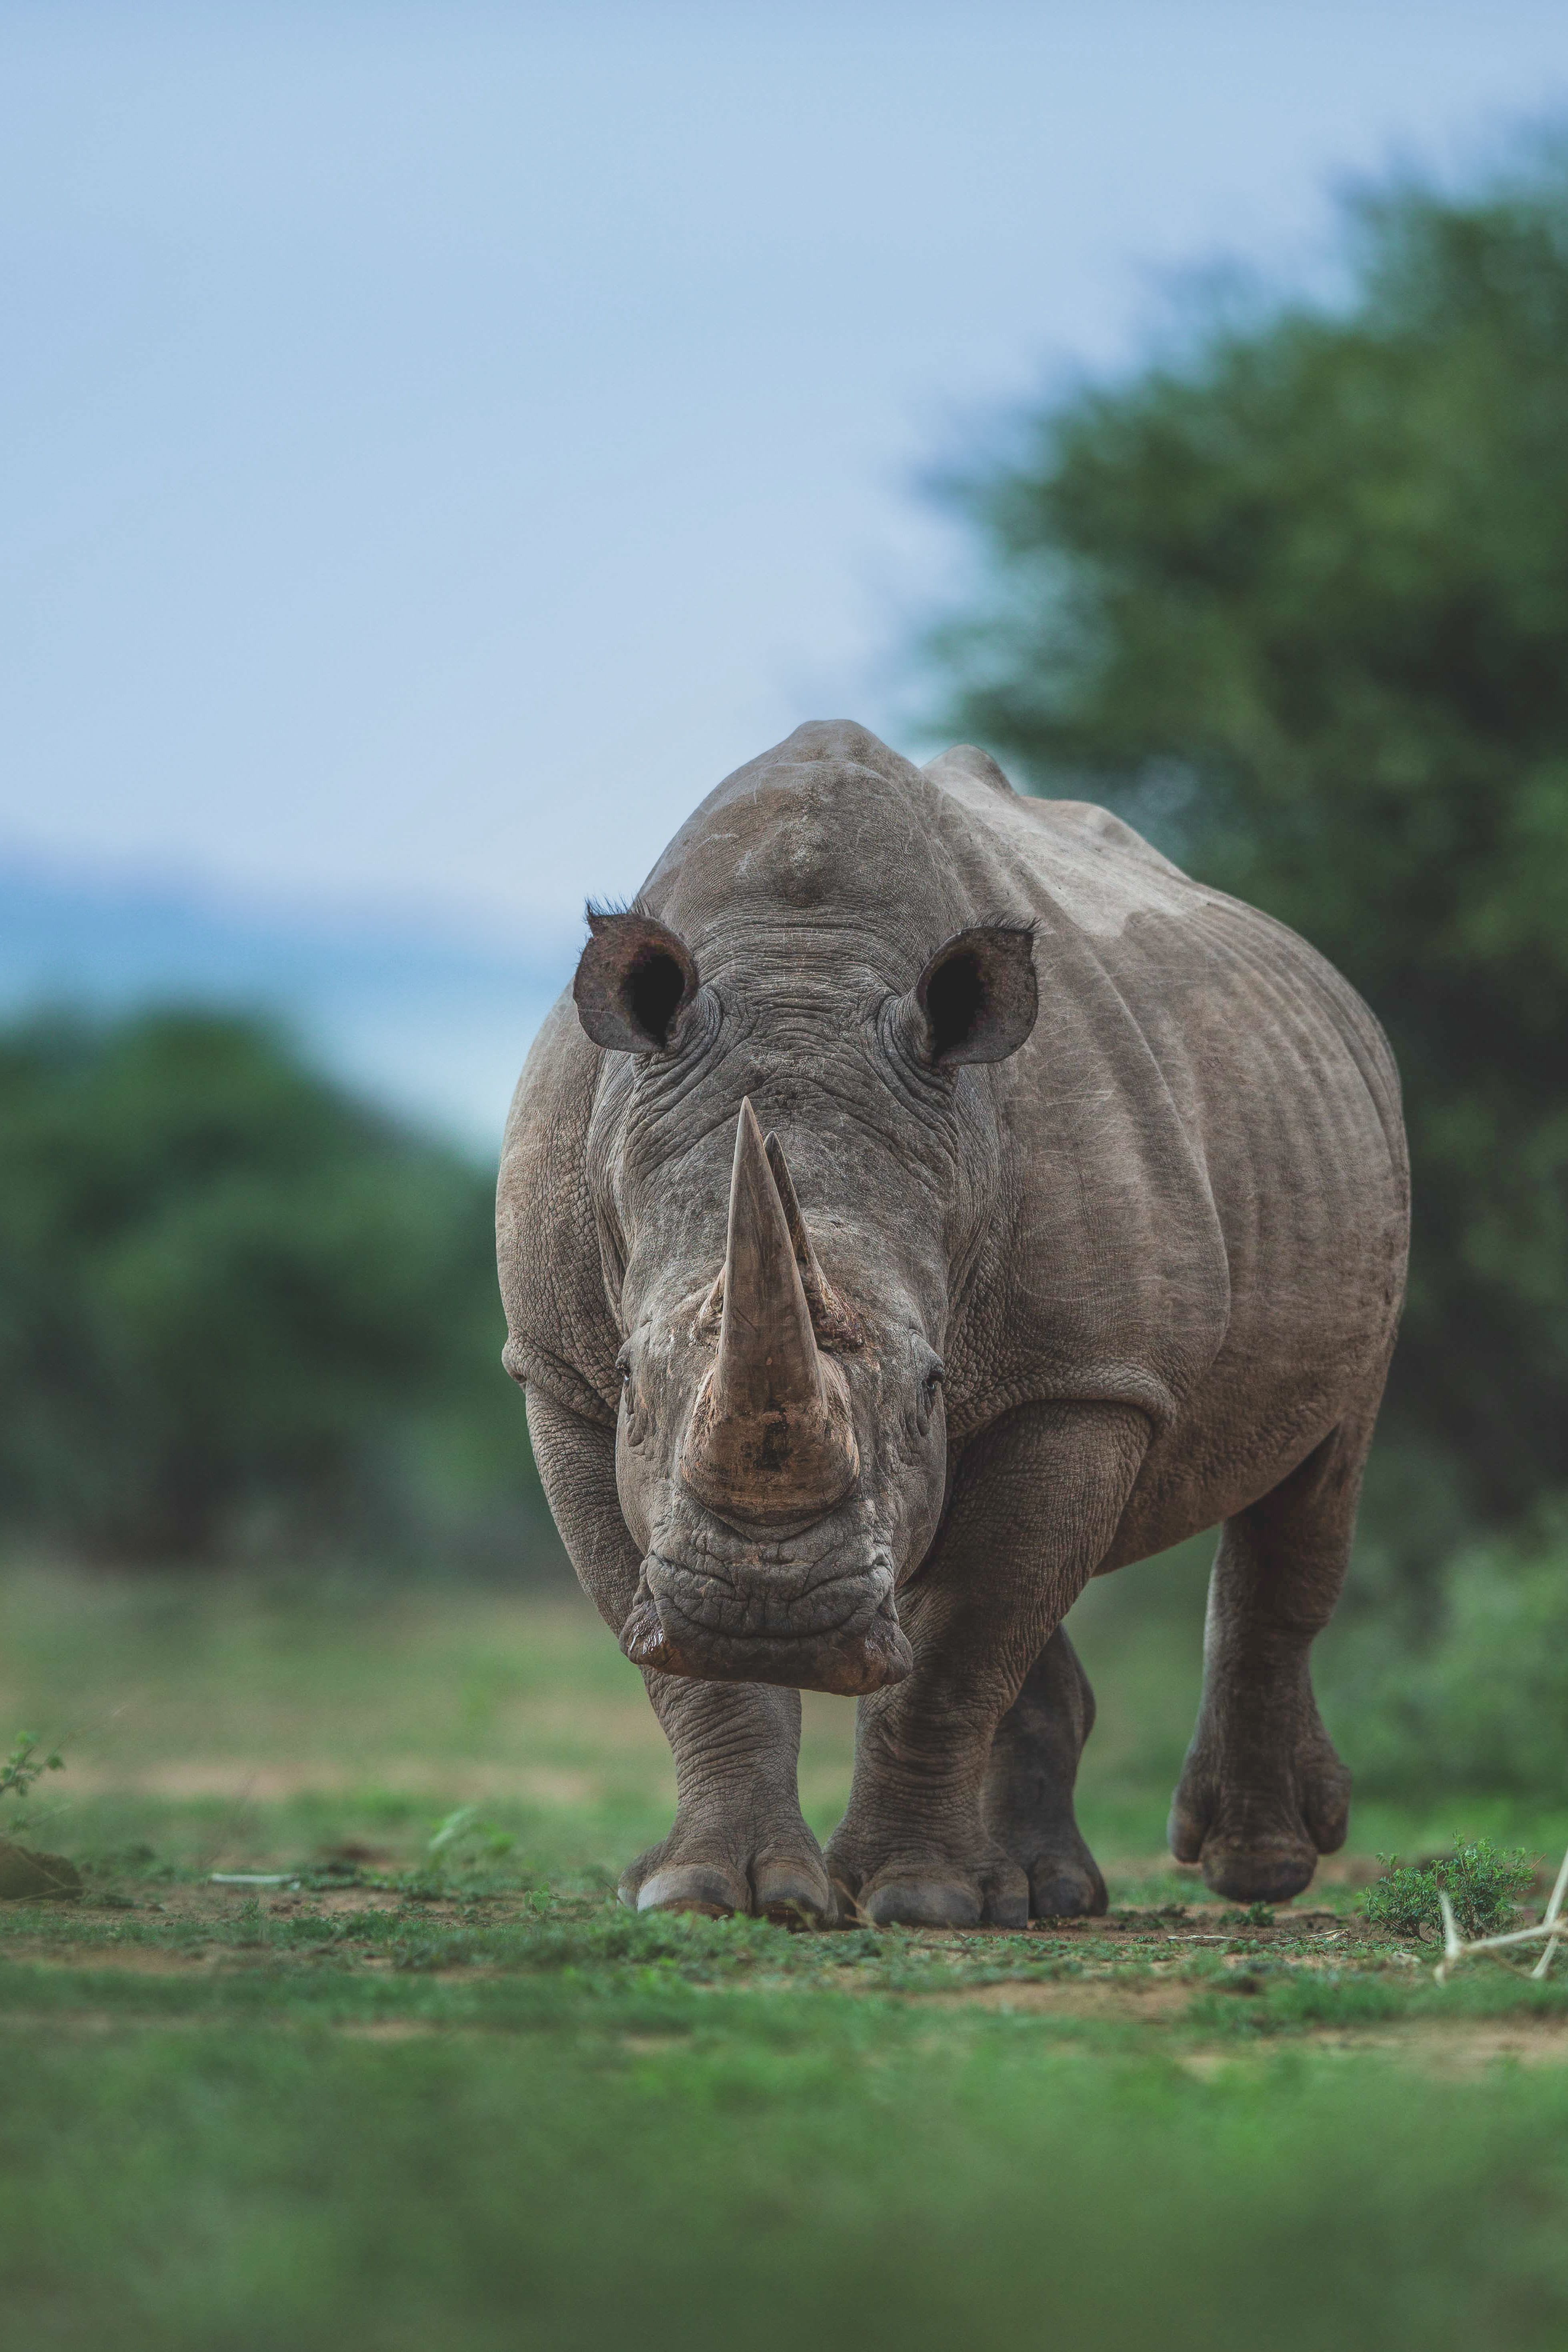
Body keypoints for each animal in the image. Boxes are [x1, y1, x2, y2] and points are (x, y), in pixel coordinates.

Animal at [498, 722, 1408, 1927]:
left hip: (1353, 1161)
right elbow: (680, 1655)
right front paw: (711, 1892)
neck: (800, 974)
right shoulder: (559, 1370)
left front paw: (917, 1901)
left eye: (930, 1387)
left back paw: (1250, 1872)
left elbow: (966, 1640)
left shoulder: (1083, 1373)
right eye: (636, 1384)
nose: (767, 1612)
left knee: (1314, 1476)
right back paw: (1046, 1893)